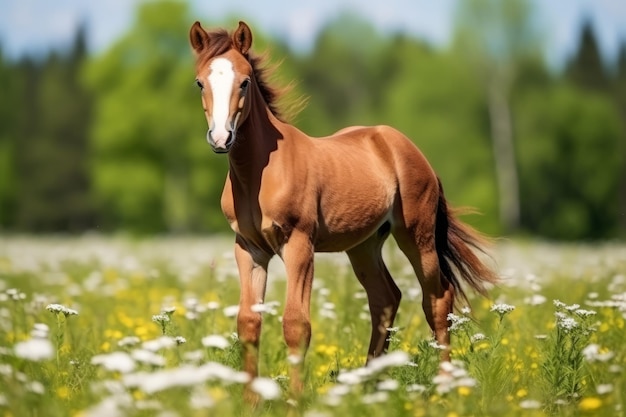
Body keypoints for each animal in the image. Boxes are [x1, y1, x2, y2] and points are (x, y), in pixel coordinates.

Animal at [188, 21, 494, 398]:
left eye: (244, 81)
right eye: (200, 82)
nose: (221, 138)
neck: (260, 173)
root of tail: (409, 148)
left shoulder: (299, 244)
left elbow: (296, 324)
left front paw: (295, 401)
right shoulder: (248, 249)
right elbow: (248, 322)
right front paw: (250, 402)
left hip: (417, 237)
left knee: (437, 300)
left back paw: (445, 387)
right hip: (364, 245)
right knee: (385, 299)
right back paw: (369, 387)